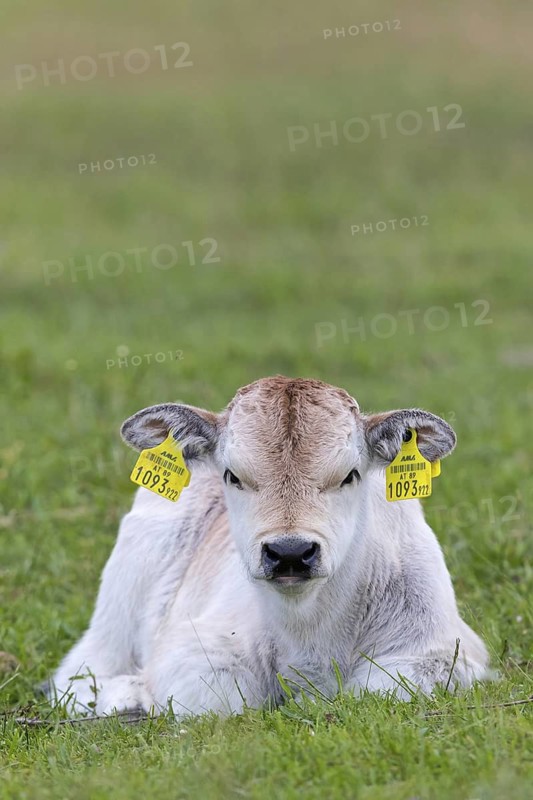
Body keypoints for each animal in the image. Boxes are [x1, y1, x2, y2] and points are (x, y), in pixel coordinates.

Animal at [48, 376, 490, 716]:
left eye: (350, 475)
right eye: (232, 475)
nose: (290, 552)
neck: (308, 631)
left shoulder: (440, 653)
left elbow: (377, 689)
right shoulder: (192, 653)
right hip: (121, 603)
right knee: (78, 674)